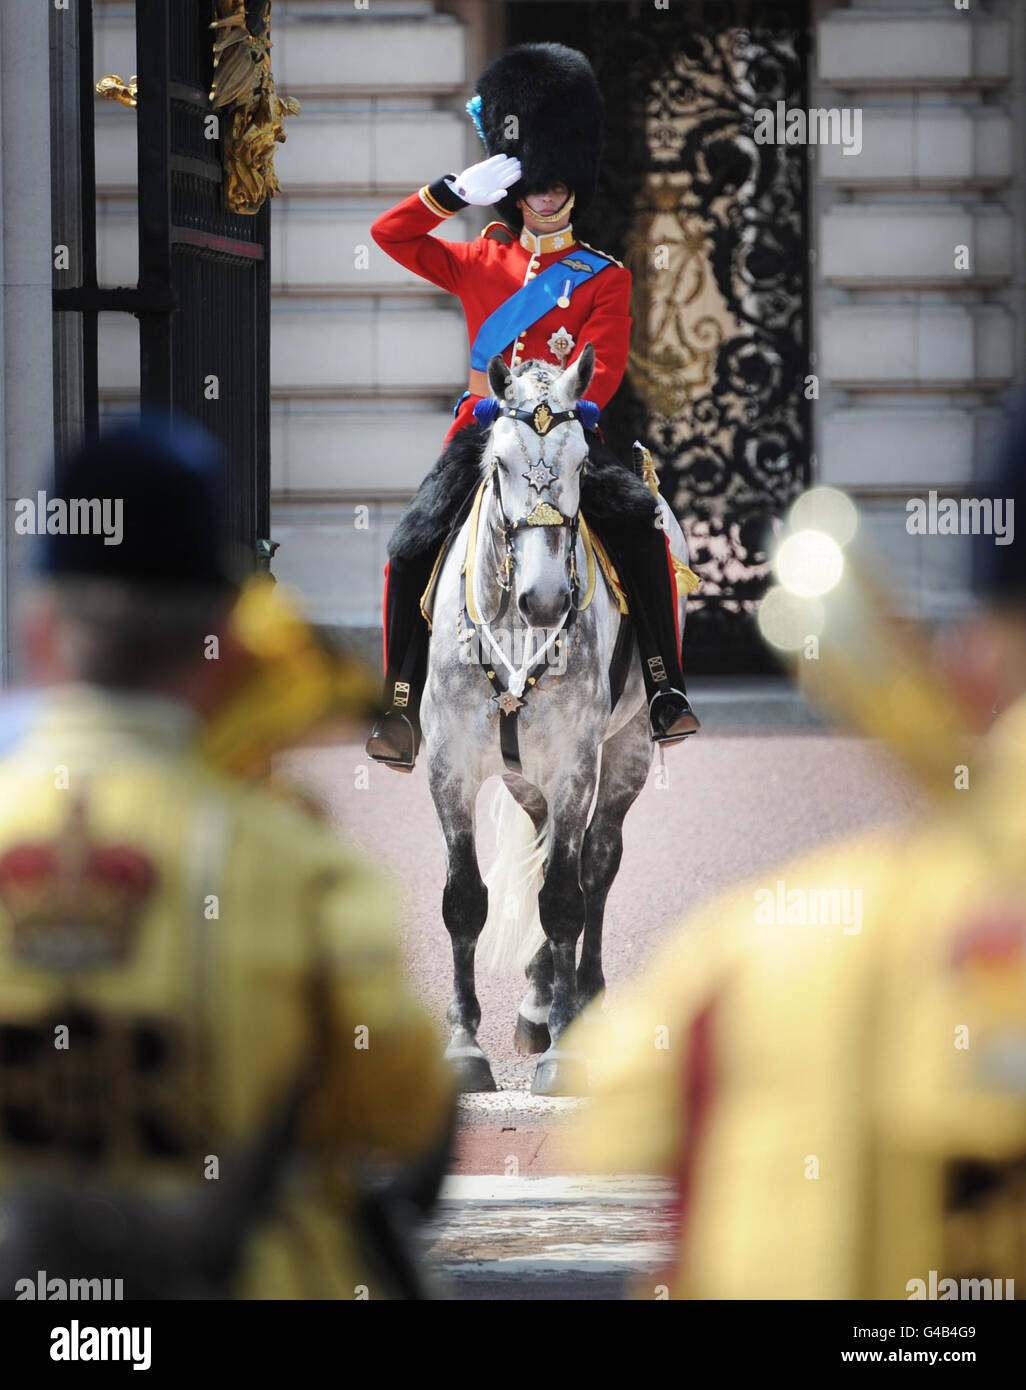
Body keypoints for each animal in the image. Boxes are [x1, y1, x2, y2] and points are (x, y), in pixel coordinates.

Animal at [419, 347, 692, 1095]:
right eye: (500, 464)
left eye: (579, 464)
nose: (544, 600)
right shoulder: (450, 767)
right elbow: (464, 901)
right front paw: (463, 1045)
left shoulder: (575, 764)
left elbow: (567, 898)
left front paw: (563, 1052)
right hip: (523, 775)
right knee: (545, 853)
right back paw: (540, 999)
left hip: (626, 752)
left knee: (594, 863)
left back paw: (580, 999)